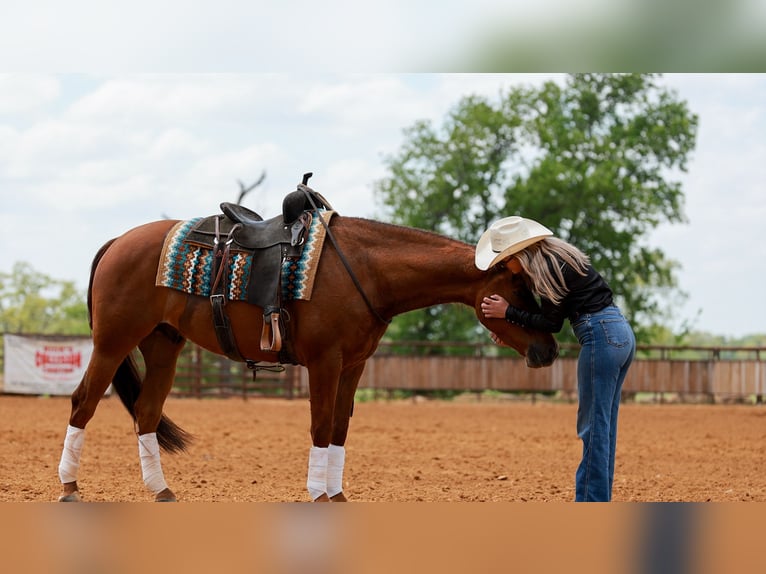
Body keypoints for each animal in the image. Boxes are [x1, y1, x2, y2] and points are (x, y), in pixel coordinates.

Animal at [57, 203, 559, 502]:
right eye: (519, 285)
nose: (549, 347)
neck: (364, 268)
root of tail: (117, 243)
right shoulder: (324, 362)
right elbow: (319, 426)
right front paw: (319, 495)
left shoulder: (353, 366)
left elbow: (338, 428)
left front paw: (336, 495)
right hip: (113, 342)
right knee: (82, 403)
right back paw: (69, 486)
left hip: (163, 345)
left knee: (145, 413)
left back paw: (161, 490)